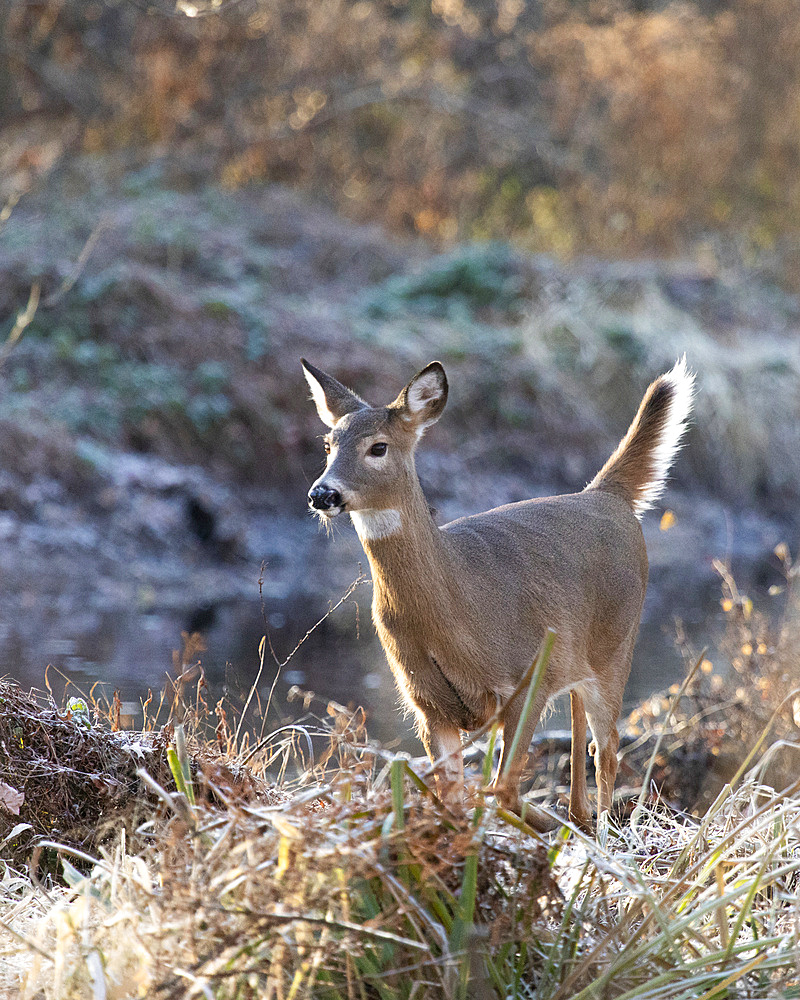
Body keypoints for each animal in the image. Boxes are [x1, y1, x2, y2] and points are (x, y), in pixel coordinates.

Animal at [302, 358, 692, 828]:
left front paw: (544, 824)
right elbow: (452, 796)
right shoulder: (427, 702)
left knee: (608, 748)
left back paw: (596, 829)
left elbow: (503, 786)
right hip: (579, 651)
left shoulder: (530, 673)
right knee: (582, 724)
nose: (322, 493)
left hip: (617, 645)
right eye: (328, 445)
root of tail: (607, 493)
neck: (458, 603)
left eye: (378, 447)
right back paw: (578, 816)